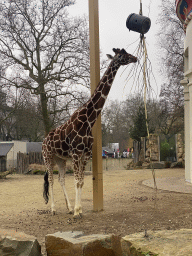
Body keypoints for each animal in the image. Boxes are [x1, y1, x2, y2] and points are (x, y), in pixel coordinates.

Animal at [42, 47, 137, 217]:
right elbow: (76, 180)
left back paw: (69, 207)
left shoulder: (85, 153)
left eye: (127, 52)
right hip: (48, 157)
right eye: (121, 54)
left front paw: (78, 210)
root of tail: (43, 140)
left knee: (60, 179)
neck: (88, 120)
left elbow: (81, 181)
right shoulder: (76, 152)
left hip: (60, 159)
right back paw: (53, 209)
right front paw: (77, 212)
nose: (135, 58)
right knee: (51, 180)